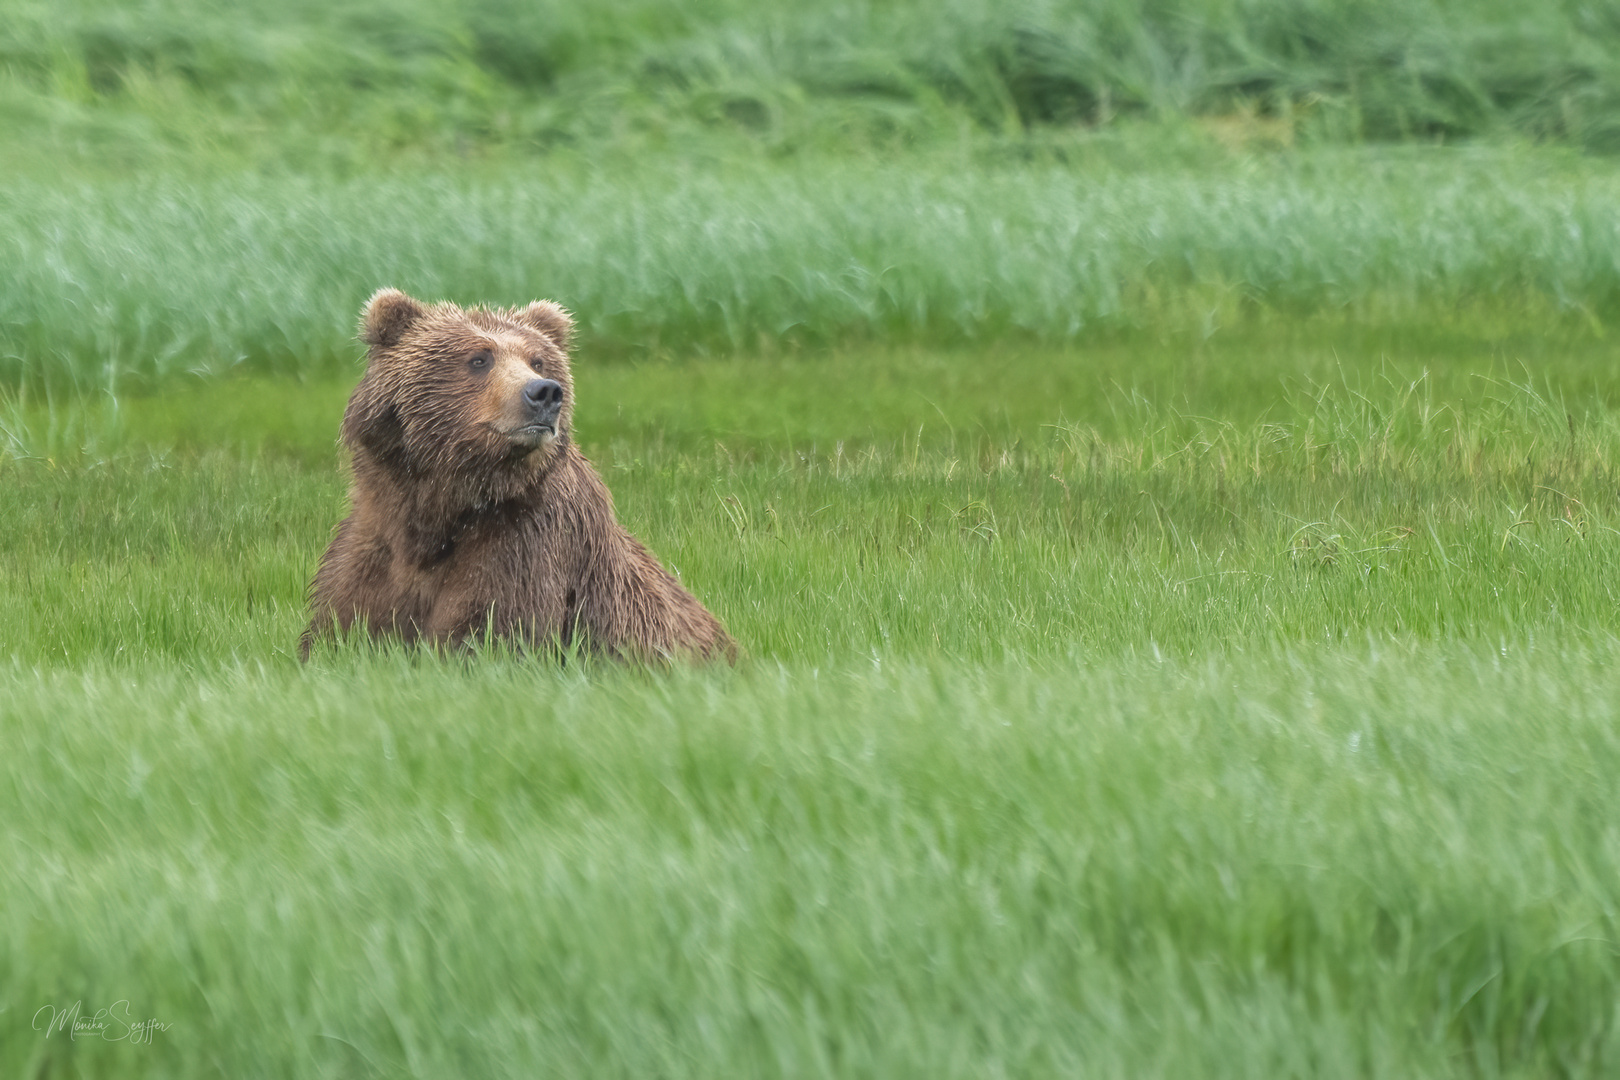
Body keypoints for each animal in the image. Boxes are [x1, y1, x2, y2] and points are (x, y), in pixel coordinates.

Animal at [301, 286, 738, 660]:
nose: (544, 392)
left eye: (537, 360)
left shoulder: (525, 541)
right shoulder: (372, 546)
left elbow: (490, 632)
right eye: (479, 358)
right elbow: (341, 631)